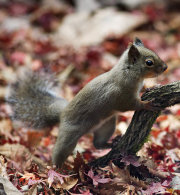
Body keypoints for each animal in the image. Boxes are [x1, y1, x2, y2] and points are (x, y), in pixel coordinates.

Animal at [6, 38, 168, 168]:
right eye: (149, 62)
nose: (165, 67)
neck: (127, 73)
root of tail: (62, 114)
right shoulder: (121, 96)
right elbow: (129, 105)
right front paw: (147, 104)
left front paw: (151, 87)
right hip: (69, 135)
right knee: (59, 151)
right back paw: (57, 169)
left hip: (106, 125)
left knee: (97, 143)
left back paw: (112, 142)